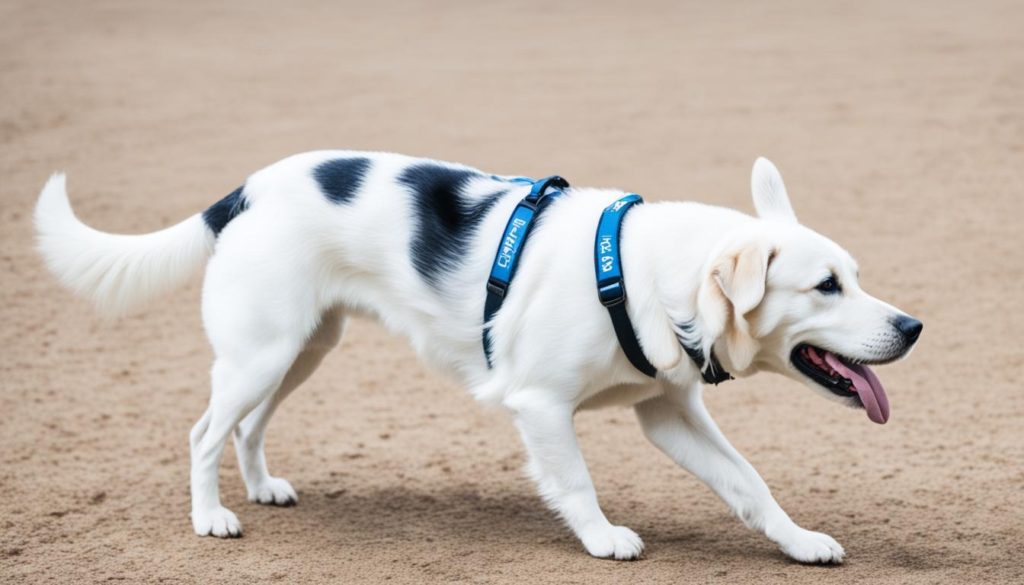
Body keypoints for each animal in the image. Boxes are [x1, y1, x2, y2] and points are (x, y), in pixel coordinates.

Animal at [37, 153, 921, 565]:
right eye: (826, 286)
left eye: (855, 276)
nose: (912, 326)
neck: (644, 271)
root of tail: (243, 190)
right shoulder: (543, 406)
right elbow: (576, 482)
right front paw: (602, 538)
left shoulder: (668, 412)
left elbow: (750, 484)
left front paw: (798, 540)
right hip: (262, 351)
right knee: (202, 433)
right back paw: (211, 515)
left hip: (299, 350)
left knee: (246, 429)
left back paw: (258, 487)